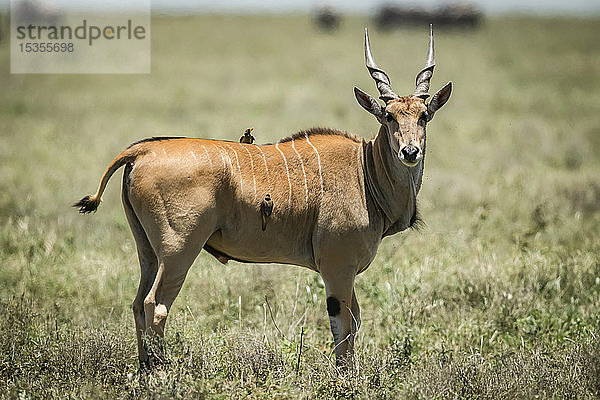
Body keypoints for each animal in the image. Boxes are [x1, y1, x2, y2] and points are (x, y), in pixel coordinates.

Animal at [74, 26, 450, 368]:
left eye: (423, 115)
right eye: (388, 116)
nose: (410, 151)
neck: (366, 171)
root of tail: (142, 151)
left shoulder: (343, 270)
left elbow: (353, 322)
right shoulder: (337, 267)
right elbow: (343, 325)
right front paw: (345, 378)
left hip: (148, 252)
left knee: (138, 303)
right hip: (179, 249)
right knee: (155, 305)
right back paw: (160, 374)